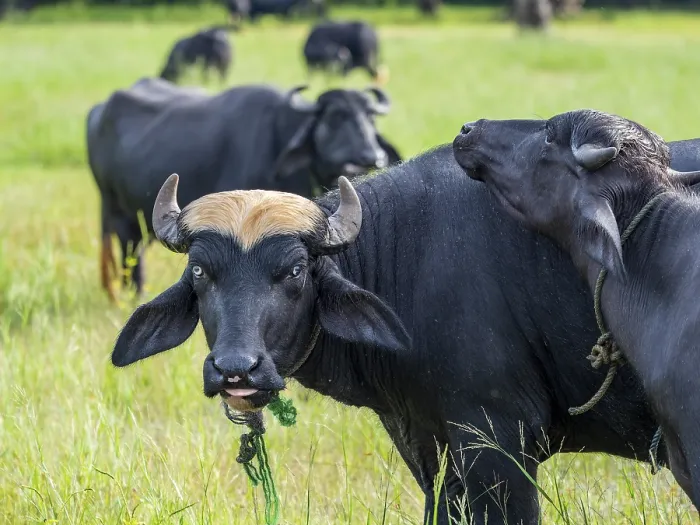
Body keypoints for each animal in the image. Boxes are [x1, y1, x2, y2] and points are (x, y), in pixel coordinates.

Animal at [86, 78, 401, 302]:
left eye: (370, 118)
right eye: (335, 116)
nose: (370, 156)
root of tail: (99, 112)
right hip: (119, 214)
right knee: (130, 258)